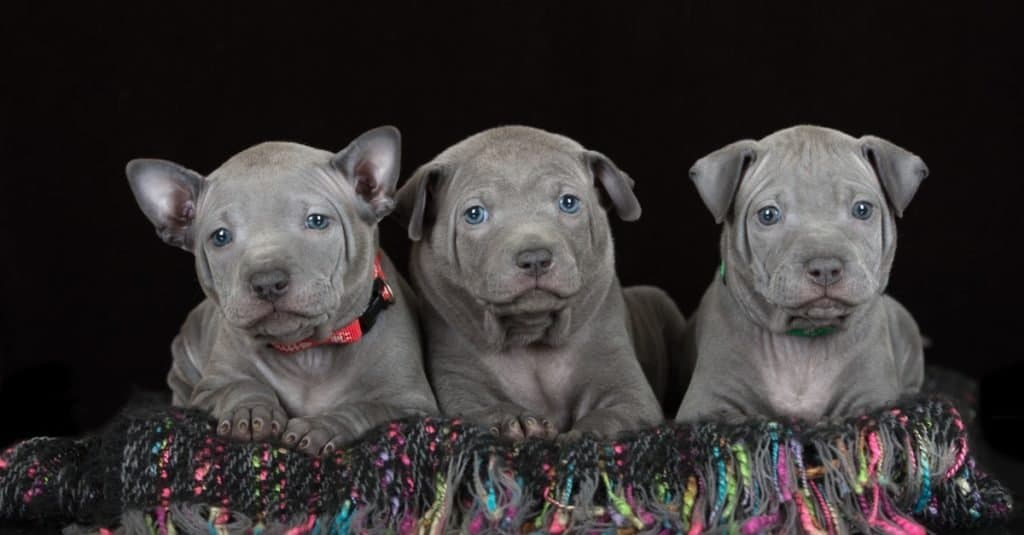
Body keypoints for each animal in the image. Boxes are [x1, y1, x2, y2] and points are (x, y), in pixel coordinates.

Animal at [126, 127, 436, 450]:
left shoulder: (410, 404)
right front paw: (250, 412)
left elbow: (366, 408)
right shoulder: (211, 387)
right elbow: (239, 386)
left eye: (316, 221)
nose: (267, 283)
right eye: (220, 237)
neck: (308, 351)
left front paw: (323, 425)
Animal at [395, 125, 684, 436]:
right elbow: (476, 410)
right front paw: (513, 420)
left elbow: (614, 414)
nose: (535, 257)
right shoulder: (459, 381)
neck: (530, 338)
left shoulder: (626, 387)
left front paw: (586, 433)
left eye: (568, 203)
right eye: (474, 214)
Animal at [675, 124, 933, 420]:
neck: (803, 344)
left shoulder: (872, 399)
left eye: (862, 209)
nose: (825, 268)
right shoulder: (706, 404)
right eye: (768, 215)